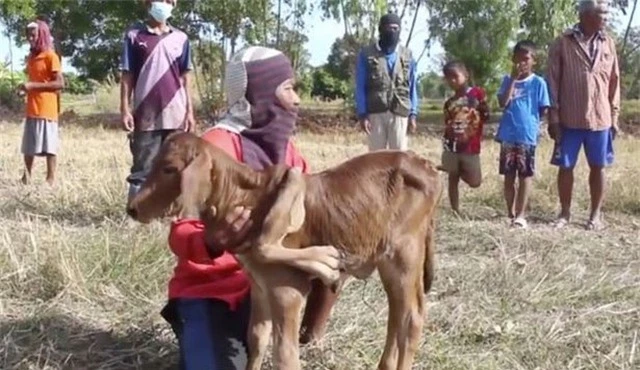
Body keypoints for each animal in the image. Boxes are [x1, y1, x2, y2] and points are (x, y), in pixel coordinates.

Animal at [127, 133, 442, 370]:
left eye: (169, 168)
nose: (133, 208)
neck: (246, 197)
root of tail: (425, 165)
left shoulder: (286, 290)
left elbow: (285, 356)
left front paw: (325, 262)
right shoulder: (259, 287)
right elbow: (256, 338)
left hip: (405, 253)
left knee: (412, 317)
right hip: (391, 262)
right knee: (397, 315)